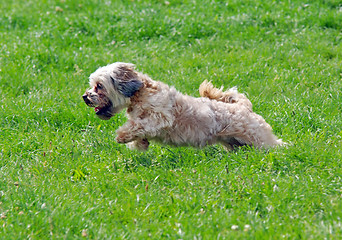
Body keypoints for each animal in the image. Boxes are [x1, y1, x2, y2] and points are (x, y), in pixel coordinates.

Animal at [82, 62, 284, 151]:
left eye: (99, 86)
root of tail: (244, 107)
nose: (85, 97)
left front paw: (122, 136)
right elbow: (139, 131)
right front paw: (140, 143)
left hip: (260, 139)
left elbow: (138, 125)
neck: (140, 93)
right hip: (236, 143)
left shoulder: (160, 117)